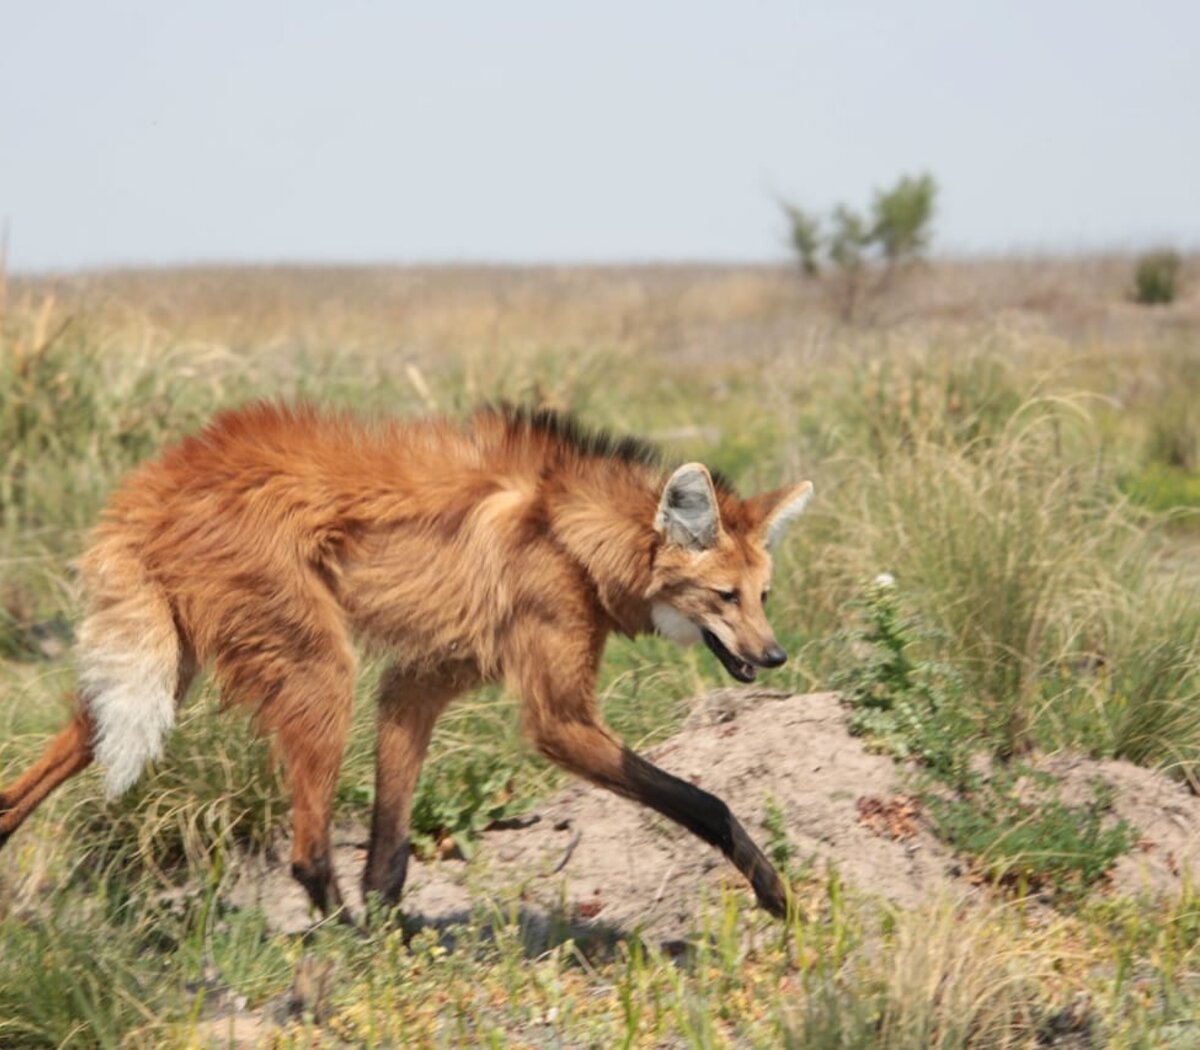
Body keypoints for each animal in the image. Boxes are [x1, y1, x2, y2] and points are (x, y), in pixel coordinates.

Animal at [0, 405, 811, 921]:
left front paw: (395, 935)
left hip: (173, 660)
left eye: (764, 595)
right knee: (306, 850)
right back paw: (337, 940)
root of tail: (160, 478)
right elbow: (705, 802)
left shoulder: (422, 681)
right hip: (314, 666)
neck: (575, 538)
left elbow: (390, 845)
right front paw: (776, 894)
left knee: (60, 756)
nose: (774, 655)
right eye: (725, 596)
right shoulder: (556, 716)